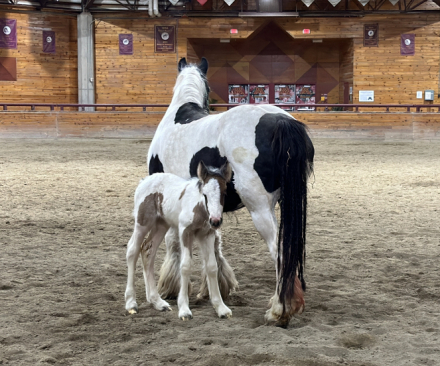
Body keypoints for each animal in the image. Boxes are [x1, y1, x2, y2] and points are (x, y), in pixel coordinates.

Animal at [124, 162, 234, 318]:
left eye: (224, 193)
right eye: (205, 194)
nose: (216, 221)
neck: (199, 207)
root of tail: (144, 181)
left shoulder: (207, 234)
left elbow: (212, 267)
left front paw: (221, 308)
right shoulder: (185, 232)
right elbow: (185, 266)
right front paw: (184, 310)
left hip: (161, 225)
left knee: (147, 251)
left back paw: (157, 302)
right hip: (142, 223)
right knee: (132, 250)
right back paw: (131, 303)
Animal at [150, 58, 314, 328]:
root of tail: (280, 121)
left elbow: (173, 243)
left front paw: (171, 288)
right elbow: (215, 245)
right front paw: (215, 289)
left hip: (260, 209)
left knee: (279, 253)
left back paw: (279, 310)